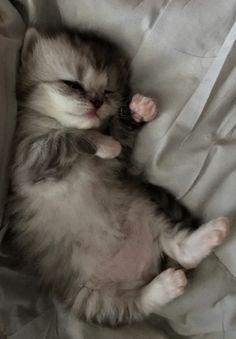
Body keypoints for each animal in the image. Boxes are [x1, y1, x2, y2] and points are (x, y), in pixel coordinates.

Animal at [3, 28, 229, 326]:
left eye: (108, 91)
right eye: (72, 84)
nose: (97, 102)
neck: (52, 121)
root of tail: (141, 268)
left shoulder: (116, 162)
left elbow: (120, 138)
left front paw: (136, 112)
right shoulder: (29, 161)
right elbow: (67, 137)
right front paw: (104, 143)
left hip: (147, 211)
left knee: (177, 247)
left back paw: (208, 237)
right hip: (90, 298)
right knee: (134, 305)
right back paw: (167, 284)